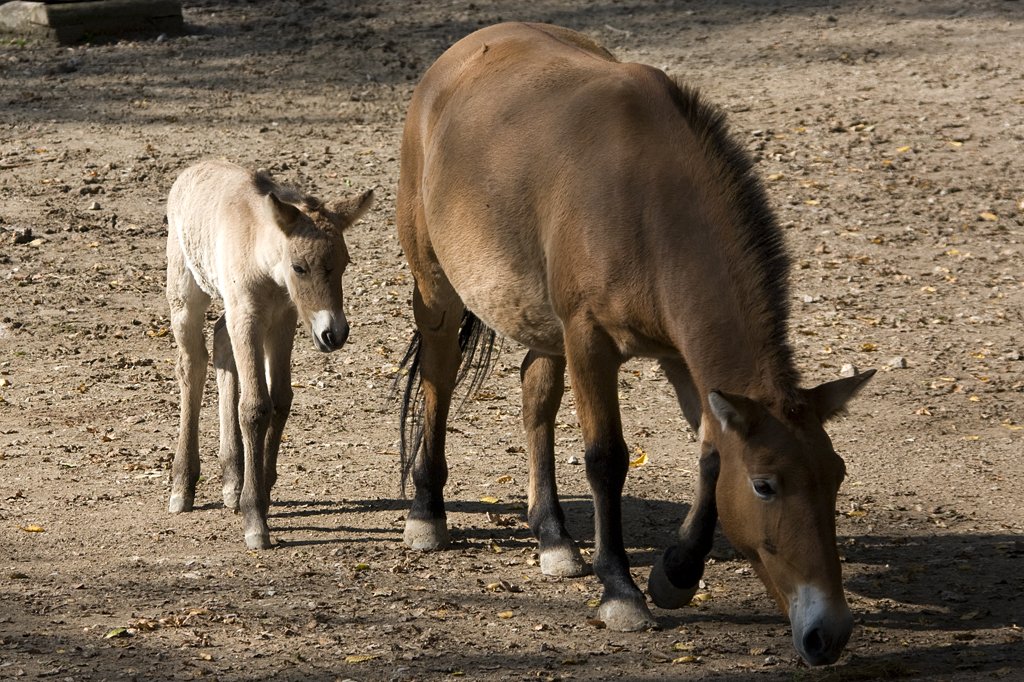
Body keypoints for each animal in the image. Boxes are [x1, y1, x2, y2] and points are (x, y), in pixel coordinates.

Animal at [395, 22, 876, 663]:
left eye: (837, 475)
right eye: (765, 486)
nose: (830, 633)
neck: (647, 198)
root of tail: (458, 57)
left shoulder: (682, 359)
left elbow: (710, 456)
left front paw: (676, 573)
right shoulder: (589, 341)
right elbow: (607, 459)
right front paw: (621, 592)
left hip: (542, 325)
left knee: (534, 396)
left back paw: (553, 537)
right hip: (439, 291)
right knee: (438, 382)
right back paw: (427, 513)